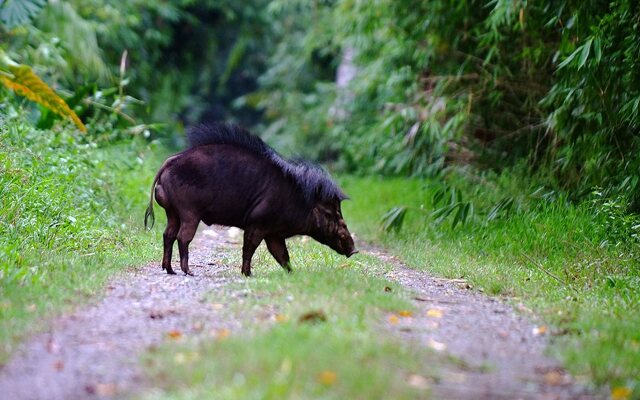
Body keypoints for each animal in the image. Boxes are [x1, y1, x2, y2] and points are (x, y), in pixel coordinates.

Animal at [142, 123, 358, 276]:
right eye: (330, 213)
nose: (355, 250)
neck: (299, 200)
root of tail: (170, 161)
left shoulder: (273, 232)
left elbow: (281, 254)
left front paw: (293, 274)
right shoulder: (257, 223)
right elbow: (250, 248)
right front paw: (247, 274)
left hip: (172, 212)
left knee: (168, 234)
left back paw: (170, 270)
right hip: (189, 212)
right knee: (182, 237)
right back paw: (189, 272)